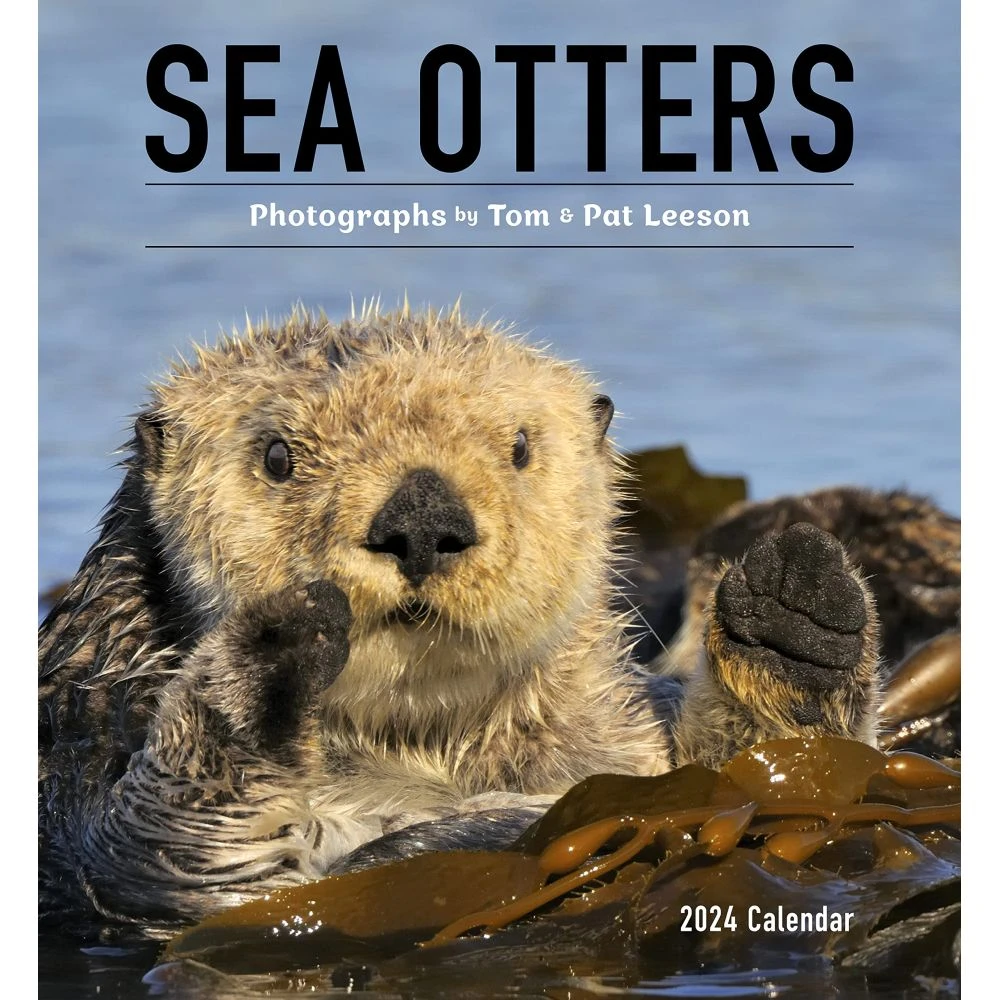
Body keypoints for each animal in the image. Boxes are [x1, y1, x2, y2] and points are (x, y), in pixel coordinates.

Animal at [39, 304, 880, 932]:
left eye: (519, 447)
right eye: (278, 457)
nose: (420, 519)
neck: (419, 749)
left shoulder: (626, 739)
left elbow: (780, 773)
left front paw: (793, 619)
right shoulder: (82, 782)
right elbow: (168, 854)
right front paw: (271, 650)